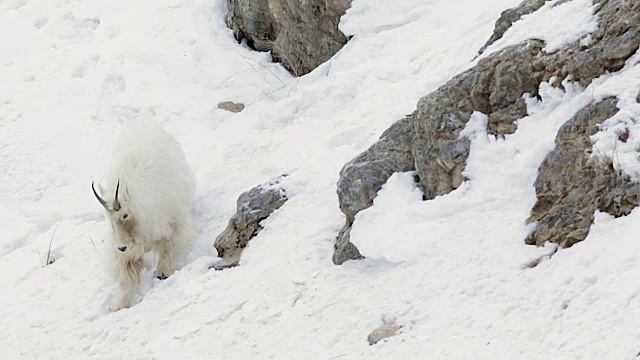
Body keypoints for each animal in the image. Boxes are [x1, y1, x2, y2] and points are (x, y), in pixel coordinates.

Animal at [93, 119, 195, 310]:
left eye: (125, 215)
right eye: (108, 218)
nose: (122, 247)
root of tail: (144, 122)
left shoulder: (171, 222)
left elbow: (167, 247)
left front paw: (162, 272)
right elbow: (127, 276)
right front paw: (120, 306)